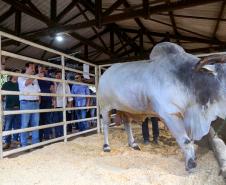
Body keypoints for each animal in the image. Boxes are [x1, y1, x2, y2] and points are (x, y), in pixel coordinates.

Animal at [99, 42, 226, 171]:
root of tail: (105, 73)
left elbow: (190, 139)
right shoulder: (169, 114)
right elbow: (185, 140)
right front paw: (190, 163)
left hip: (125, 109)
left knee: (127, 124)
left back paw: (133, 144)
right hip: (105, 107)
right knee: (105, 124)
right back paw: (106, 146)